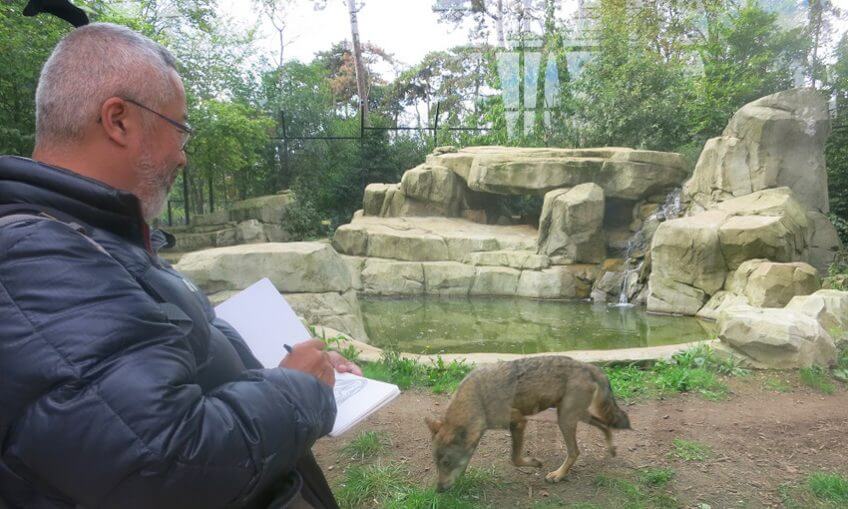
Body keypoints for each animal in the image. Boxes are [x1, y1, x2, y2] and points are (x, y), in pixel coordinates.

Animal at [424, 356, 631, 491]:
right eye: (436, 463)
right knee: (605, 425)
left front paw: (535, 463)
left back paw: (558, 475)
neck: (478, 400)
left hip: (565, 419)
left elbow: (515, 458)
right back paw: (611, 449)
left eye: (446, 462)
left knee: (575, 451)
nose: (439, 490)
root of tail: (588, 366)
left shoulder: (519, 422)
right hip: (574, 415)